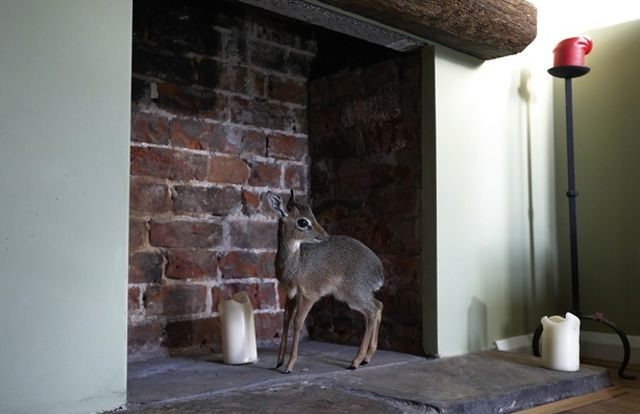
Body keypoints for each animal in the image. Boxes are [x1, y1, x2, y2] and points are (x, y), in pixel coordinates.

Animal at [266, 190, 384, 373]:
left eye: (313, 216)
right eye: (302, 221)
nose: (325, 236)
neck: (297, 265)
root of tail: (378, 270)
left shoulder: (309, 295)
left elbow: (298, 322)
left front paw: (289, 365)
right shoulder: (291, 295)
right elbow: (285, 320)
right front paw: (279, 362)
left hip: (353, 294)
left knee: (372, 311)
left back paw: (355, 362)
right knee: (378, 306)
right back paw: (366, 358)